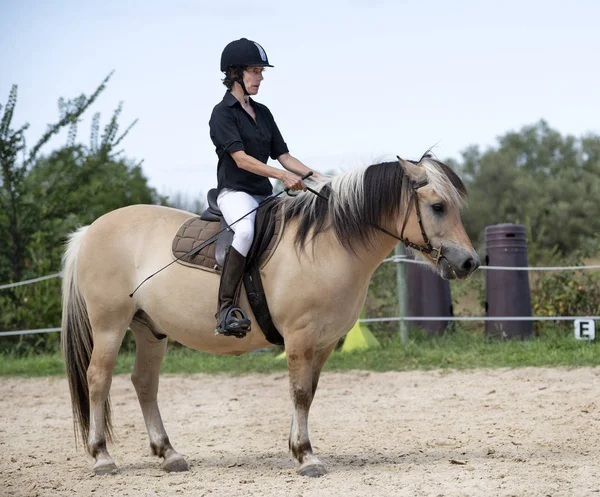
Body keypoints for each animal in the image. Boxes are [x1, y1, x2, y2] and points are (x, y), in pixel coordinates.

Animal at [62, 155, 478, 476]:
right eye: (438, 206)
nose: (469, 263)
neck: (327, 245)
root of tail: (90, 231)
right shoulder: (300, 336)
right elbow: (298, 392)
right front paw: (307, 457)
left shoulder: (323, 342)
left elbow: (307, 392)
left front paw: (297, 449)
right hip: (110, 325)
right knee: (98, 379)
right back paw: (102, 457)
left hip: (150, 330)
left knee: (145, 383)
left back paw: (170, 454)